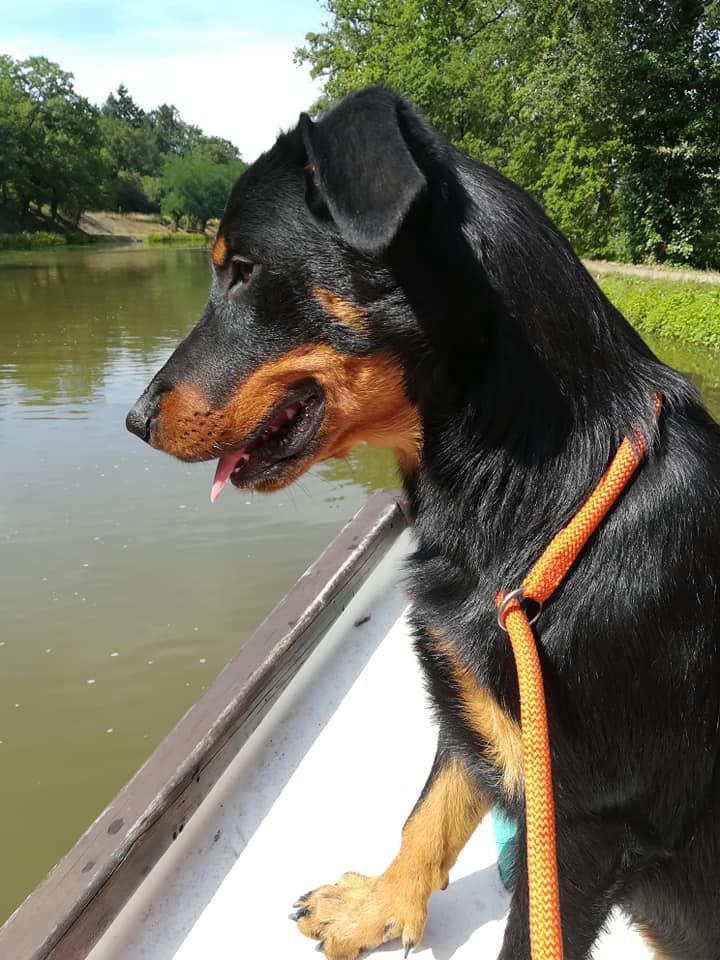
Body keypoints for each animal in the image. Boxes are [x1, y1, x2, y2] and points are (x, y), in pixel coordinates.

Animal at [126, 86, 720, 956]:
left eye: (243, 271)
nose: (132, 420)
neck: (536, 500)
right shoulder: (479, 706)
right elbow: (431, 811)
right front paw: (375, 905)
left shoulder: (582, 820)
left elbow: (523, 928)